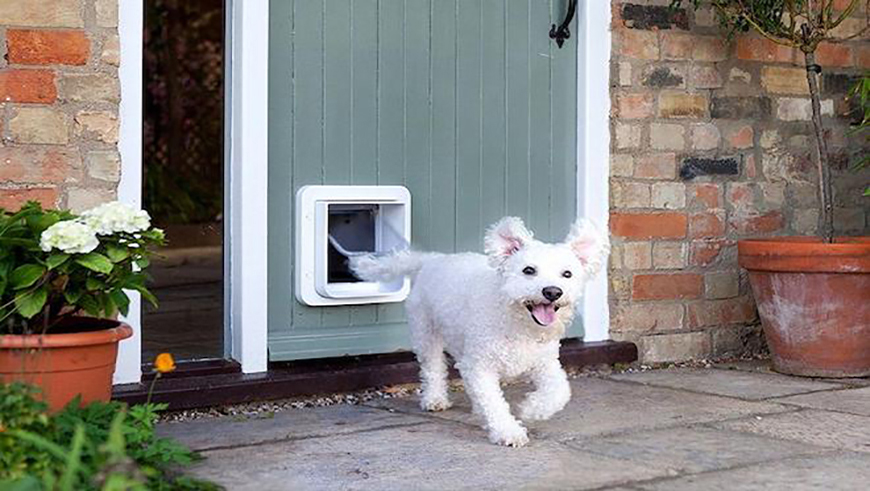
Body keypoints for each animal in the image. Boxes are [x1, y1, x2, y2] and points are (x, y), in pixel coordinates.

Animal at [350, 217, 608, 448]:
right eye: (528, 270)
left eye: (567, 274)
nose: (552, 291)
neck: (517, 323)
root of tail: (432, 259)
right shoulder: (480, 366)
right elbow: (493, 402)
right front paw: (508, 431)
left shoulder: (545, 363)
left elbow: (560, 391)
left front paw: (532, 409)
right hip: (426, 332)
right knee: (433, 368)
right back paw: (435, 398)